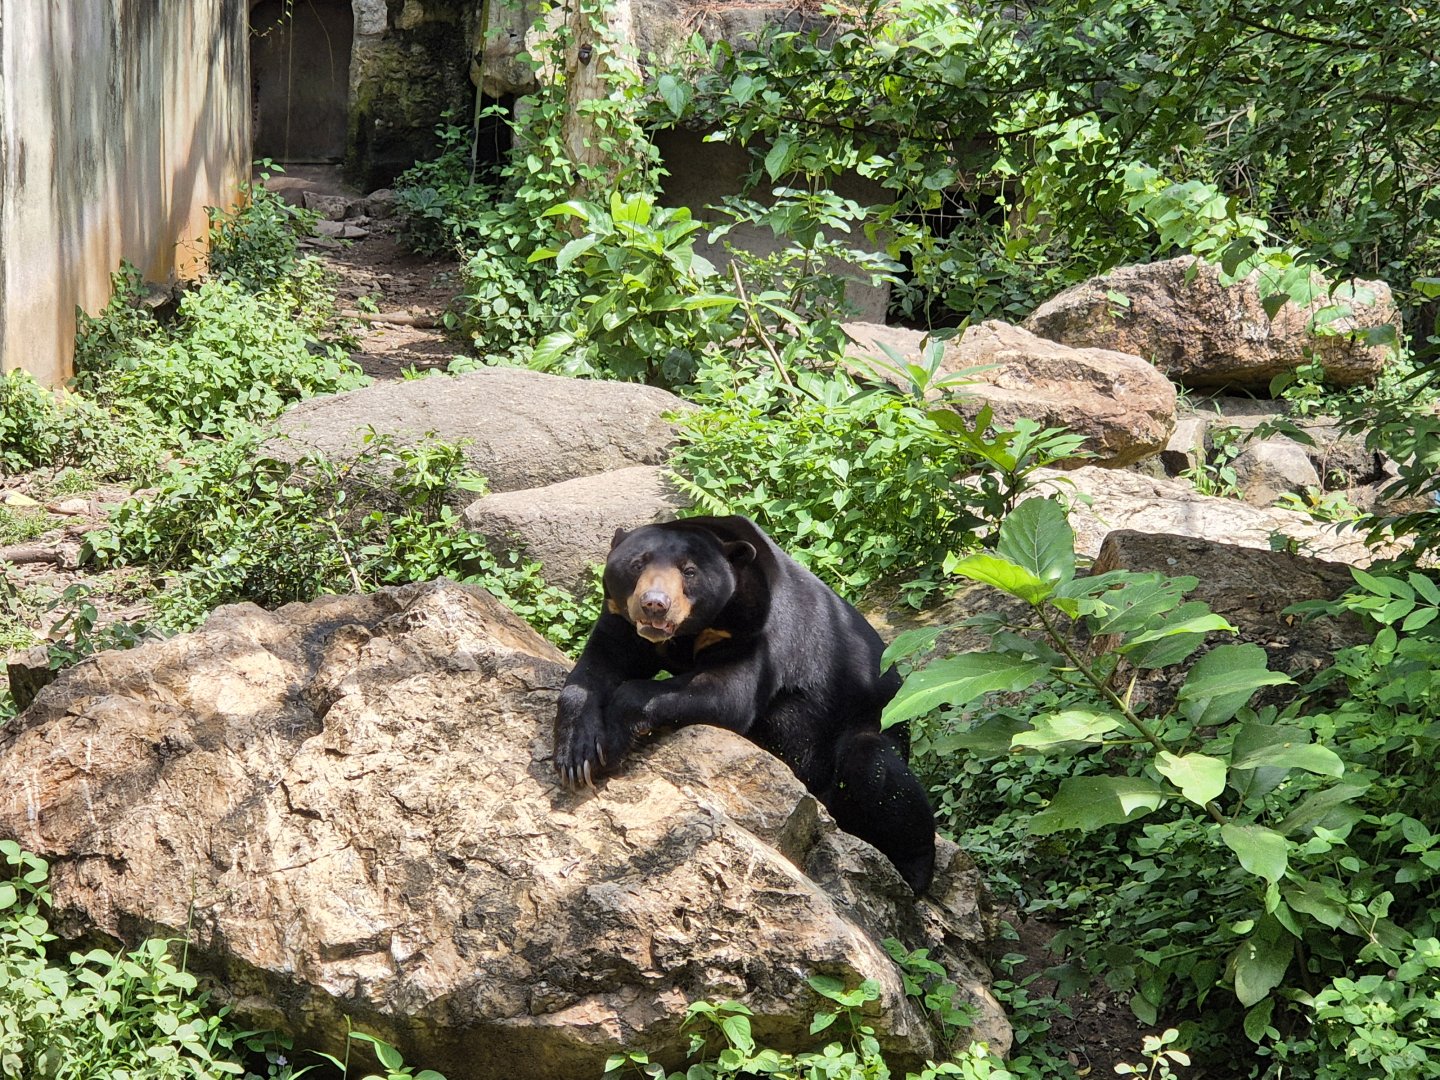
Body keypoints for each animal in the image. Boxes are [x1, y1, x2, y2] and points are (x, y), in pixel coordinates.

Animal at [553, 514, 936, 894]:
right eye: (636, 564)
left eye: (689, 571)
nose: (654, 604)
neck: (691, 631)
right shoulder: (622, 618)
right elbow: (599, 665)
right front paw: (577, 756)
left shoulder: (757, 627)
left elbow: (730, 693)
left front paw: (613, 741)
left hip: (873, 721)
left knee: (876, 771)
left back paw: (911, 874)